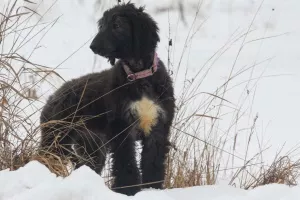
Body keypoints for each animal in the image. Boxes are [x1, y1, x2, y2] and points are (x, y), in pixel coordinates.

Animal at [39, 2, 176, 196]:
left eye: (117, 25)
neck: (139, 76)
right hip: (56, 137)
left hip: (91, 147)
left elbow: (153, 162)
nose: (93, 46)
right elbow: (126, 162)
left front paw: (152, 189)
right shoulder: (122, 127)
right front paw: (127, 190)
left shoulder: (158, 127)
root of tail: (52, 97)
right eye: (102, 25)